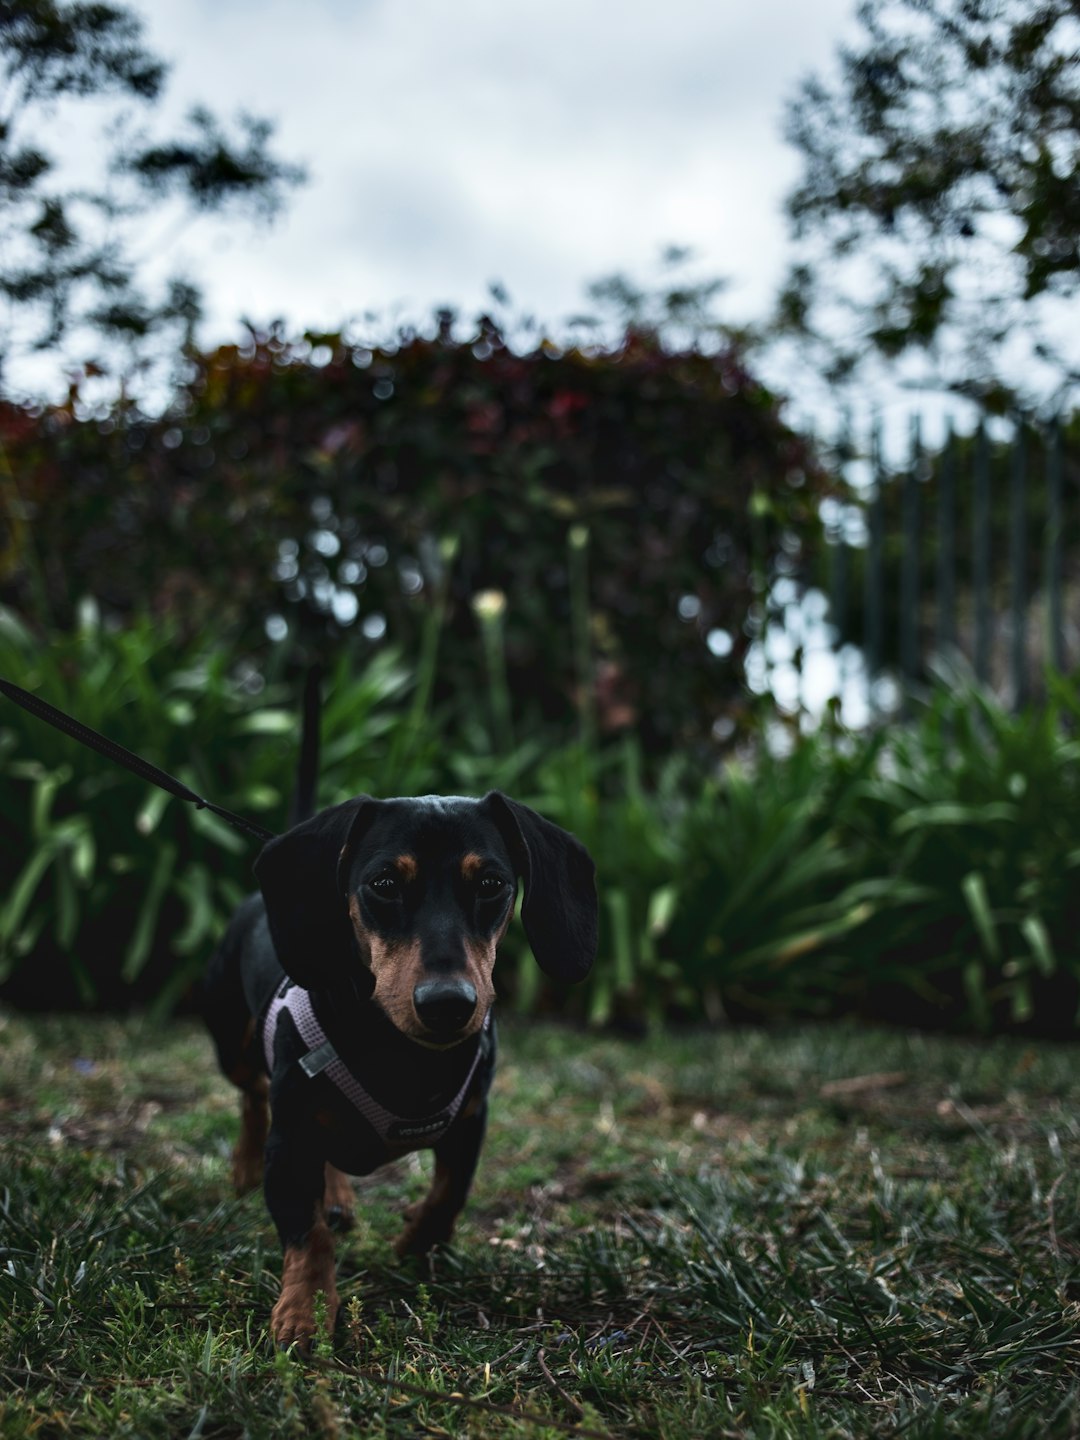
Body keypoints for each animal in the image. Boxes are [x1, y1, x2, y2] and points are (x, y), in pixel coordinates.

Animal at [203, 794, 601, 1342]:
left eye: (491, 884)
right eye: (385, 884)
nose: (448, 1004)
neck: (406, 1057)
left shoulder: (471, 1120)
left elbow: (449, 1194)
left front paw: (416, 1244)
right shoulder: (290, 1141)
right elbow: (309, 1234)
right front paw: (305, 1311)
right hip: (233, 1045)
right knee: (250, 1094)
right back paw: (245, 1166)